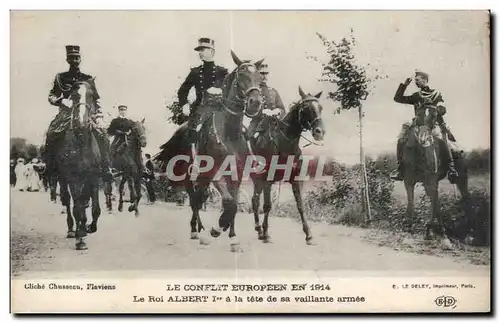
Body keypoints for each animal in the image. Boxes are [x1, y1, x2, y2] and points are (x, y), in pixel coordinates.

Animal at [53, 79, 105, 252]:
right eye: (74, 95)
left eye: (92, 95)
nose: (81, 123)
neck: (81, 142)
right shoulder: (73, 178)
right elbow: (77, 208)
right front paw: (80, 238)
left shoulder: (94, 178)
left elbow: (94, 208)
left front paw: (90, 227)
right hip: (62, 178)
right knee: (68, 200)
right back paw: (72, 230)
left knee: (83, 201)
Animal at [155, 51, 266, 253]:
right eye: (241, 75)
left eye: (260, 79)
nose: (255, 103)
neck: (229, 133)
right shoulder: (214, 173)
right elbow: (229, 202)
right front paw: (216, 229)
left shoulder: (236, 174)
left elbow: (233, 204)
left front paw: (232, 237)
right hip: (190, 176)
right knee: (194, 199)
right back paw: (196, 231)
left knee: (200, 198)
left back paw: (200, 229)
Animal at [249, 87, 326, 244]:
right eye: (306, 108)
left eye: (320, 107)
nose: (319, 132)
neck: (286, 144)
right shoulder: (268, 180)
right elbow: (267, 206)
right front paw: (266, 233)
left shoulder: (296, 180)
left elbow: (300, 205)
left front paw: (308, 234)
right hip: (256, 179)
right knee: (254, 201)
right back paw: (259, 230)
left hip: (258, 181)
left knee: (254, 200)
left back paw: (258, 229)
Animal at [402, 107, 468, 249]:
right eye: (419, 114)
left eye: (435, 115)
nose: (423, 139)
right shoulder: (409, 181)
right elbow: (411, 203)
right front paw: (409, 234)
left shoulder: (431, 181)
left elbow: (436, 206)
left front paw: (443, 237)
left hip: (456, 178)